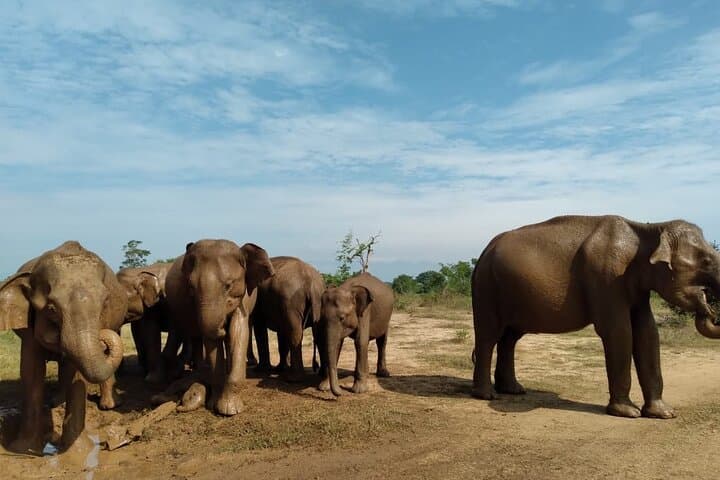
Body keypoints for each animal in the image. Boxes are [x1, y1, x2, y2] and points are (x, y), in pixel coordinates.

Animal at [0, 241, 126, 454]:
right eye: (51, 309)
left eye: (105, 303)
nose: (102, 338)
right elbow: (31, 371)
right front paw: (23, 449)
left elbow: (76, 374)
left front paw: (77, 452)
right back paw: (55, 402)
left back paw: (109, 406)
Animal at [164, 240, 274, 416]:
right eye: (191, 287)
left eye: (228, 285)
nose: (222, 326)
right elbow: (210, 340)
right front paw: (213, 405)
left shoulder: (243, 299)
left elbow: (238, 332)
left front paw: (230, 410)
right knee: (193, 336)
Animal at [471, 215, 720, 419]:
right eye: (706, 261)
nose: (709, 309)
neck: (647, 228)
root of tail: (484, 250)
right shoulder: (606, 276)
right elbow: (619, 331)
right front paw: (628, 413)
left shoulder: (636, 289)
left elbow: (647, 332)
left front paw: (664, 413)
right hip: (487, 287)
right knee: (489, 336)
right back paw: (487, 395)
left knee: (510, 338)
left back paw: (513, 390)